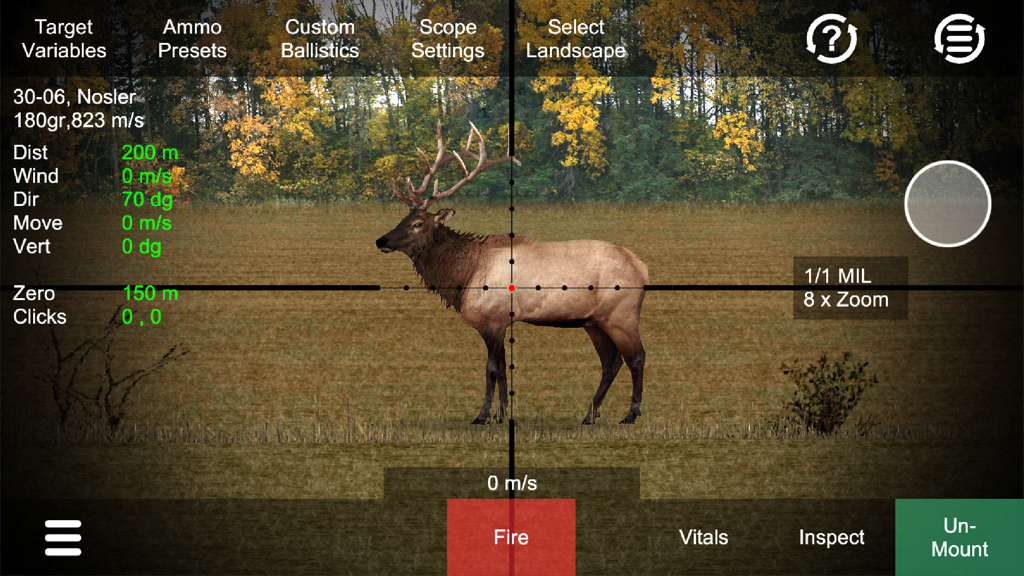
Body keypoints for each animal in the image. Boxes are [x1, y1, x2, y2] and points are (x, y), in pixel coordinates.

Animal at [375, 121, 648, 425]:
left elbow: (491, 368)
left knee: (636, 357)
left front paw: (483, 415)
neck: (463, 278)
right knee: (611, 362)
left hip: (621, 314)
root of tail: (642, 268)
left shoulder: (493, 320)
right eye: (403, 218)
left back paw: (631, 414)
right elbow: (503, 369)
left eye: (418, 223)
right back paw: (590, 414)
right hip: (593, 322)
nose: (381, 240)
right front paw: (502, 414)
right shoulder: (499, 323)